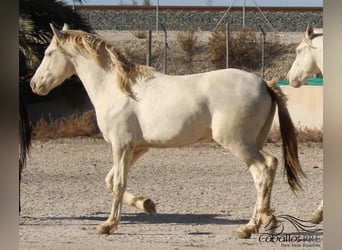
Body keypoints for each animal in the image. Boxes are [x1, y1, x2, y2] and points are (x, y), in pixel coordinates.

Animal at [30, 24, 304, 239]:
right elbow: (111, 180)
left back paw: (254, 225)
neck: (116, 89)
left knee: (265, 168)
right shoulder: (136, 148)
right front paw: (146, 204)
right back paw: (261, 222)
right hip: (250, 143)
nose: (34, 84)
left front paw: (108, 225)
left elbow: (118, 183)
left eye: (48, 53)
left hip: (238, 143)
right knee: (263, 174)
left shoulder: (120, 145)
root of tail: (264, 84)